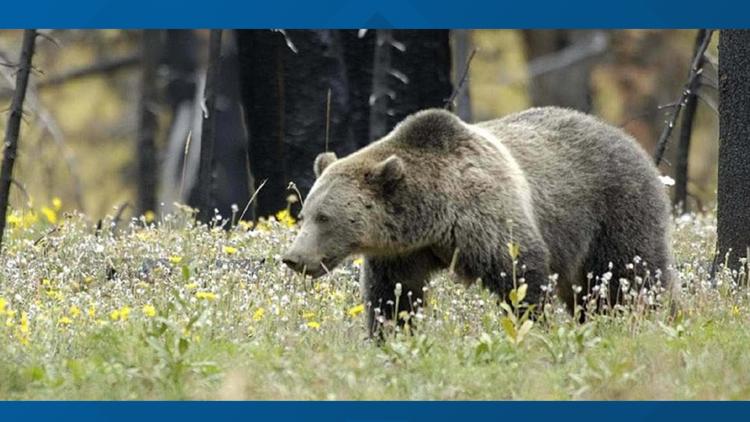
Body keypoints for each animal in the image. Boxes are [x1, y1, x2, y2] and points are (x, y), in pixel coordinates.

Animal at [282, 107, 674, 334]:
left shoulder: (485, 218)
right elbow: (394, 297)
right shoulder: (402, 253)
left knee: (629, 275)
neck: (433, 217)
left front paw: (534, 328)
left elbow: (521, 276)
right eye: (304, 214)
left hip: (614, 209)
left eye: (325, 217)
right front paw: (391, 336)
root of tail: (628, 138)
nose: (293, 258)